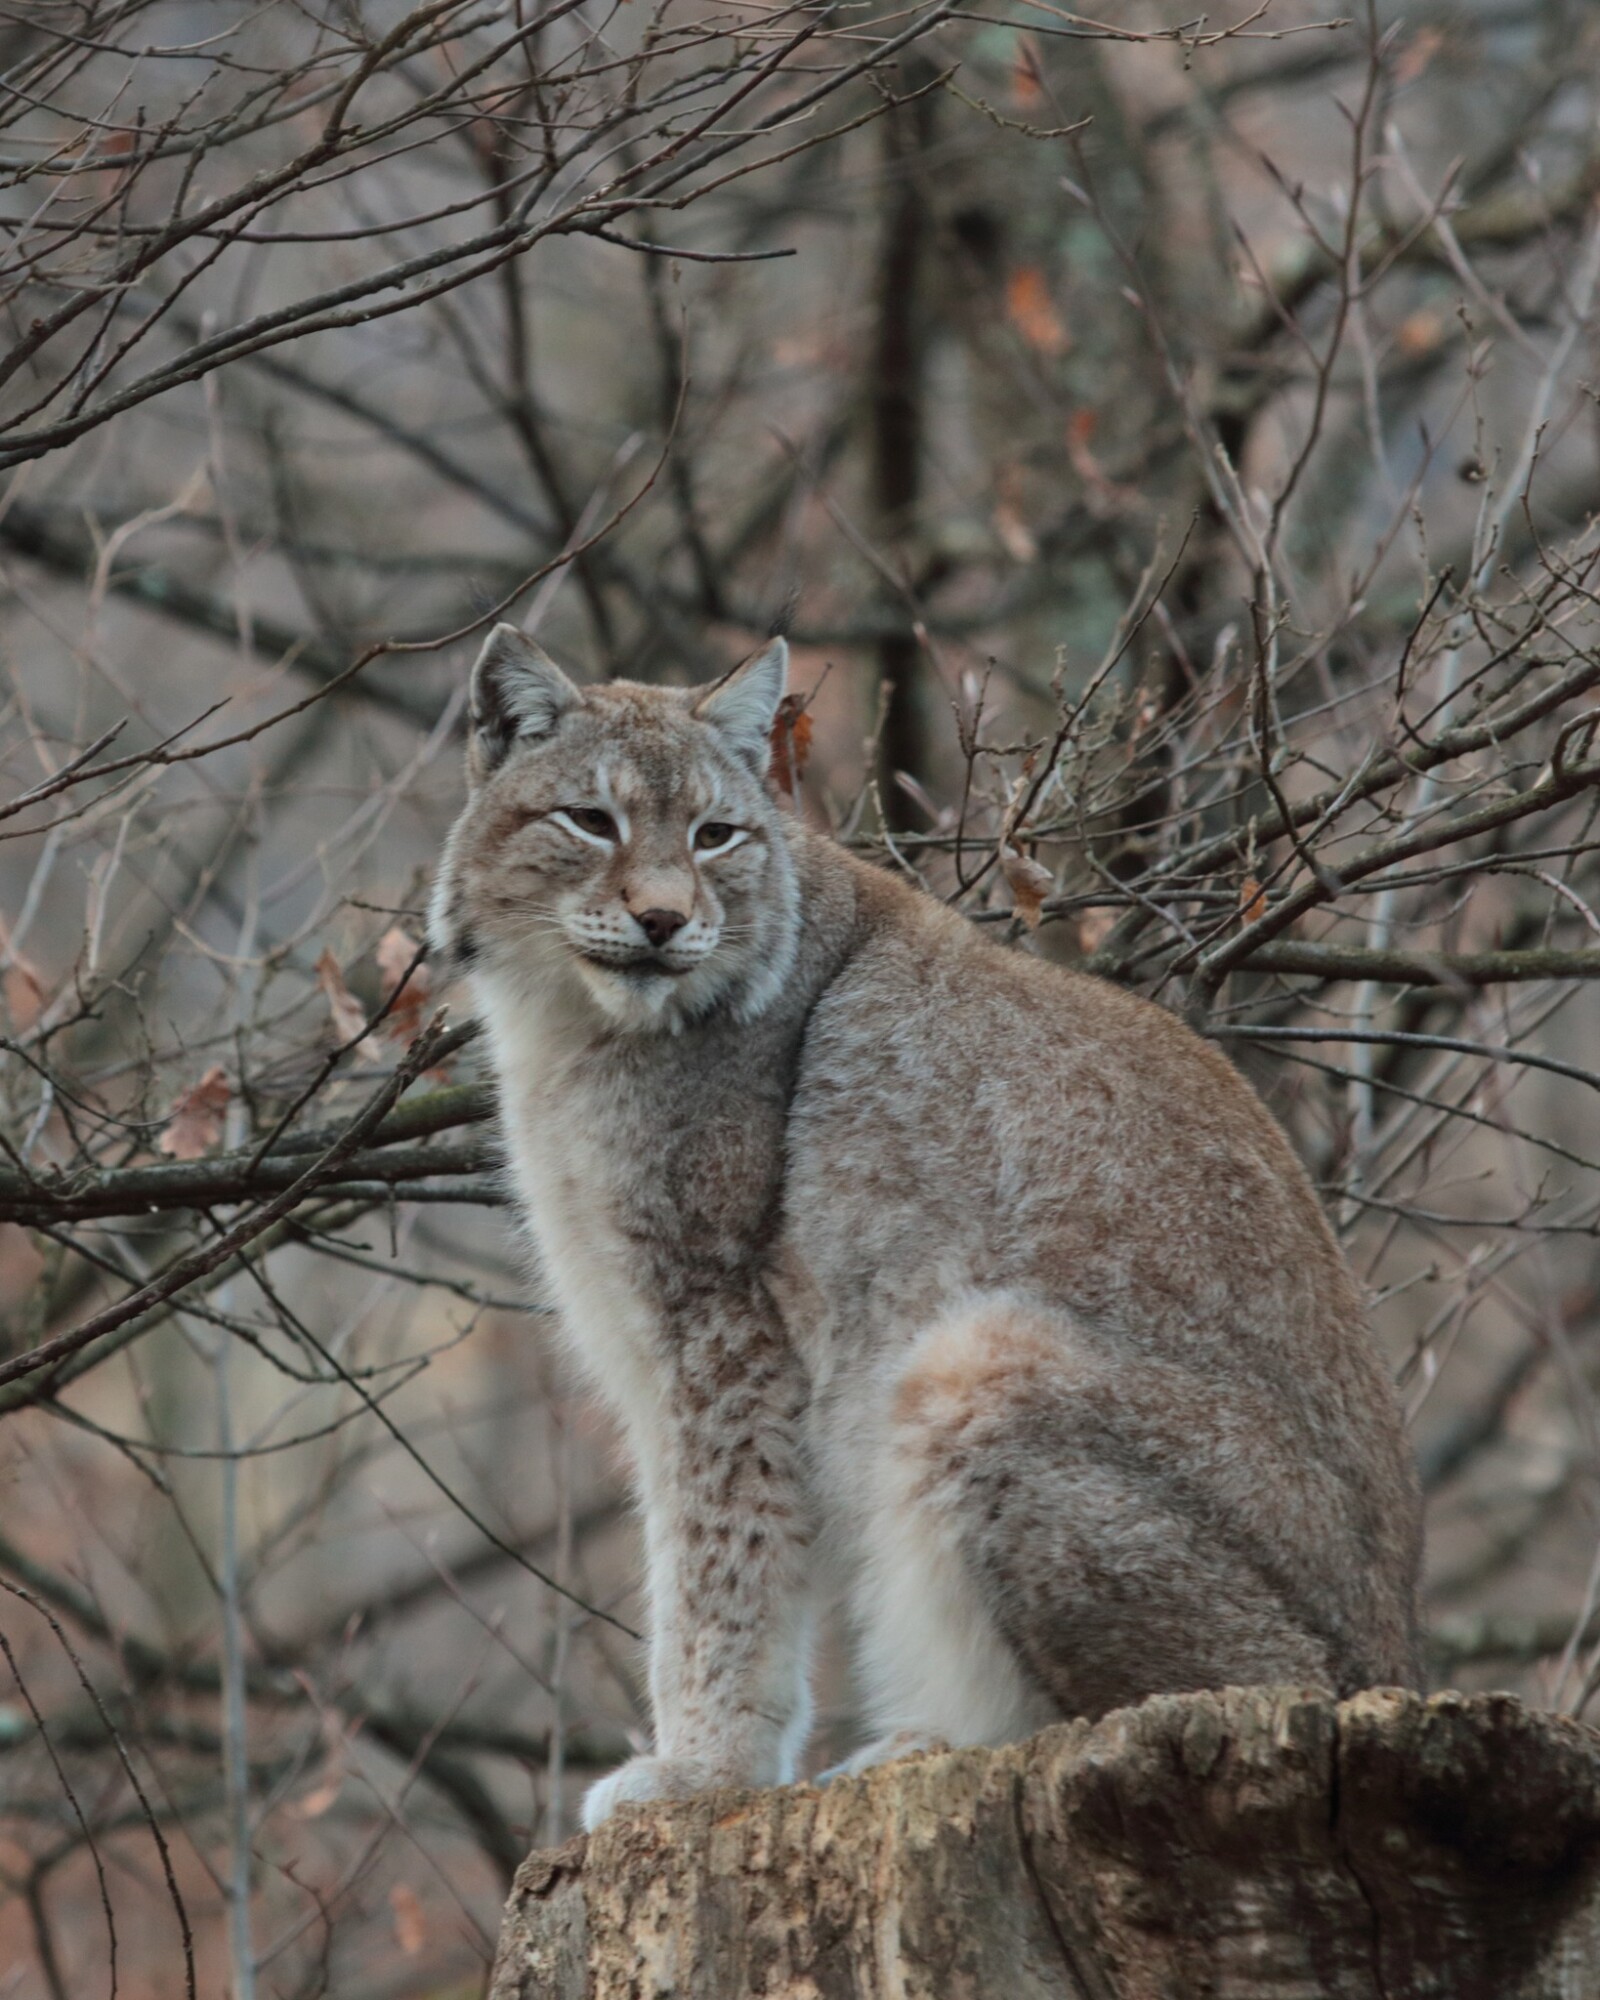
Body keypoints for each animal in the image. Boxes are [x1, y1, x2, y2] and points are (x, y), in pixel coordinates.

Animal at [428, 623, 1423, 1832]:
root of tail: (1400, 1668)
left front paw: (704, 1772)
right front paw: (710, 1763)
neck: (574, 1026)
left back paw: (925, 1739)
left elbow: (722, 1556)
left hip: (974, 1350)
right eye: (591, 820)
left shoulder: (721, 1323)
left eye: (716, 836)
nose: (666, 920)